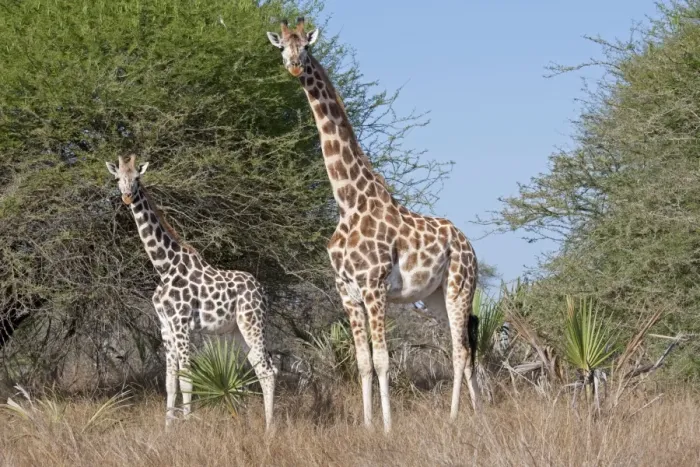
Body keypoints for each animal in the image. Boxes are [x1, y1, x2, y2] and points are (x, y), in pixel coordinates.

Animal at [106, 155, 276, 430]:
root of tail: (262, 291)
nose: (128, 196)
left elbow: (186, 377)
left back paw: (270, 429)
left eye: (137, 177)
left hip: (253, 322)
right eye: (117, 178)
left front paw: (186, 425)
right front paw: (168, 428)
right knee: (258, 364)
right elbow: (170, 382)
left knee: (268, 369)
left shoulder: (181, 321)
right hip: (237, 330)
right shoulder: (165, 325)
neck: (164, 266)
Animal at [267, 18, 480, 433]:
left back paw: (454, 416)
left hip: (460, 287)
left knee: (461, 349)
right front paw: (367, 425)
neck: (349, 202)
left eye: (307, 47)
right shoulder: (347, 290)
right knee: (459, 346)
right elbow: (363, 361)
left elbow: (382, 359)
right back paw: (481, 411)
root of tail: (471, 247)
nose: (296, 67)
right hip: (434, 296)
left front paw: (387, 426)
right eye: (282, 47)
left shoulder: (374, 286)